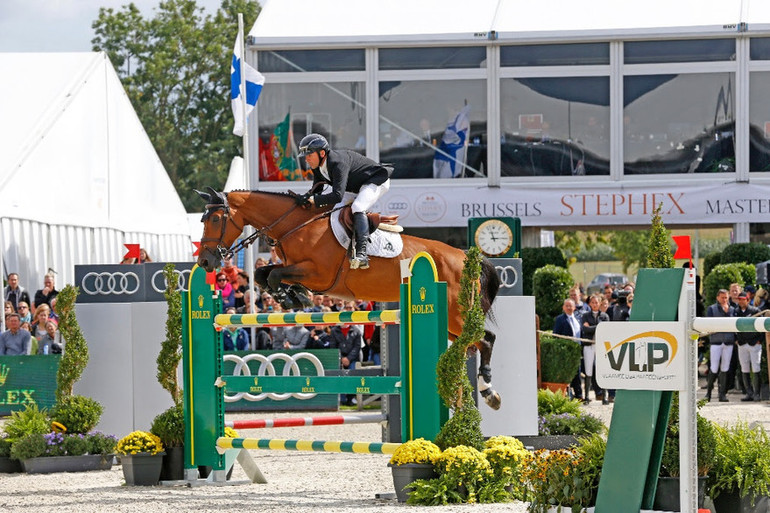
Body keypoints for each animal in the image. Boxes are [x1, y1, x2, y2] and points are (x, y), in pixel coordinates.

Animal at [195, 188, 500, 408]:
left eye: (215, 219)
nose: (205, 262)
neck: (296, 226)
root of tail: (465, 256)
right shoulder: (295, 268)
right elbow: (263, 274)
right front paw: (293, 297)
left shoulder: (319, 274)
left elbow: (272, 275)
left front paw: (296, 298)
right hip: (450, 322)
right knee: (472, 343)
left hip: (456, 313)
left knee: (485, 339)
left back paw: (488, 390)